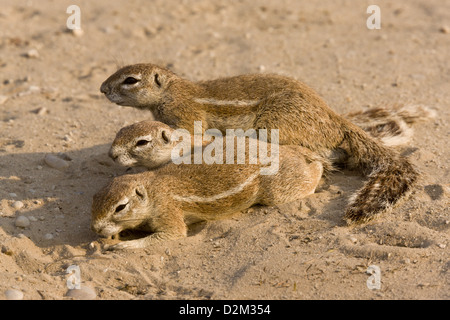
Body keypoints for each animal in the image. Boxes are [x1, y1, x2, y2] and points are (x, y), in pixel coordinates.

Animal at [92, 126, 324, 249]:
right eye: (93, 200)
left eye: (120, 207)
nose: (95, 229)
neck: (152, 187)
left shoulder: (168, 212)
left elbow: (170, 235)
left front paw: (122, 245)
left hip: (278, 190)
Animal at [101, 62, 432, 222]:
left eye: (130, 80)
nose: (102, 89)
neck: (173, 89)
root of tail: (333, 118)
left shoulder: (185, 116)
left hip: (275, 125)